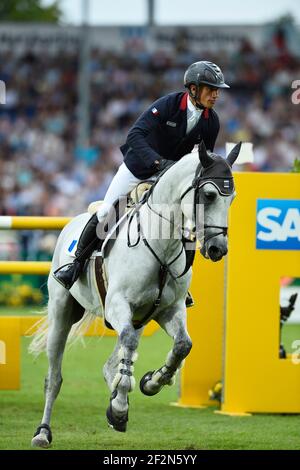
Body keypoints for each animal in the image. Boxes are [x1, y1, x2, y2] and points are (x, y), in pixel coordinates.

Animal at [29, 140, 240, 448]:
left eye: (232, 197)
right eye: (210, 195)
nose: (217, 249)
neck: (161, 242)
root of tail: (72, 221)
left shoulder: (170, 309)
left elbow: (182, 345)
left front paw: (152, 382)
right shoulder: (118, 304)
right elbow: (128, 344)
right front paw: (119, 406)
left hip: (141, 316)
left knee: (112, 363)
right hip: (62, 312)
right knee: (53, 378)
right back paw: (43, 432)